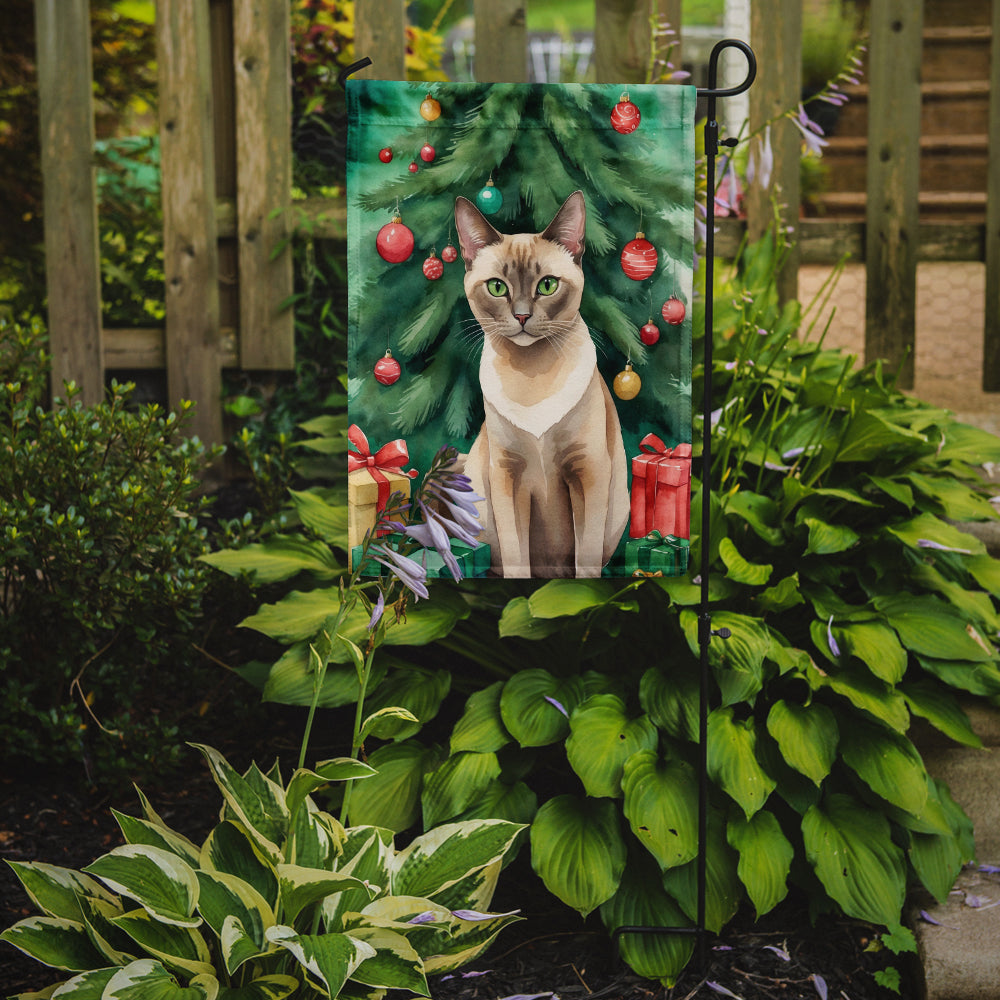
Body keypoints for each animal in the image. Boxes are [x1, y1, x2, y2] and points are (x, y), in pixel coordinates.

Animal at [458, 190, 628, 580]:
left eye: (547, 285)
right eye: (497, 288)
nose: (521, 316)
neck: (531, 377)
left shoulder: (587, 472)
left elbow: (586, 561)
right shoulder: (507, 476)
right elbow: (516, 557)